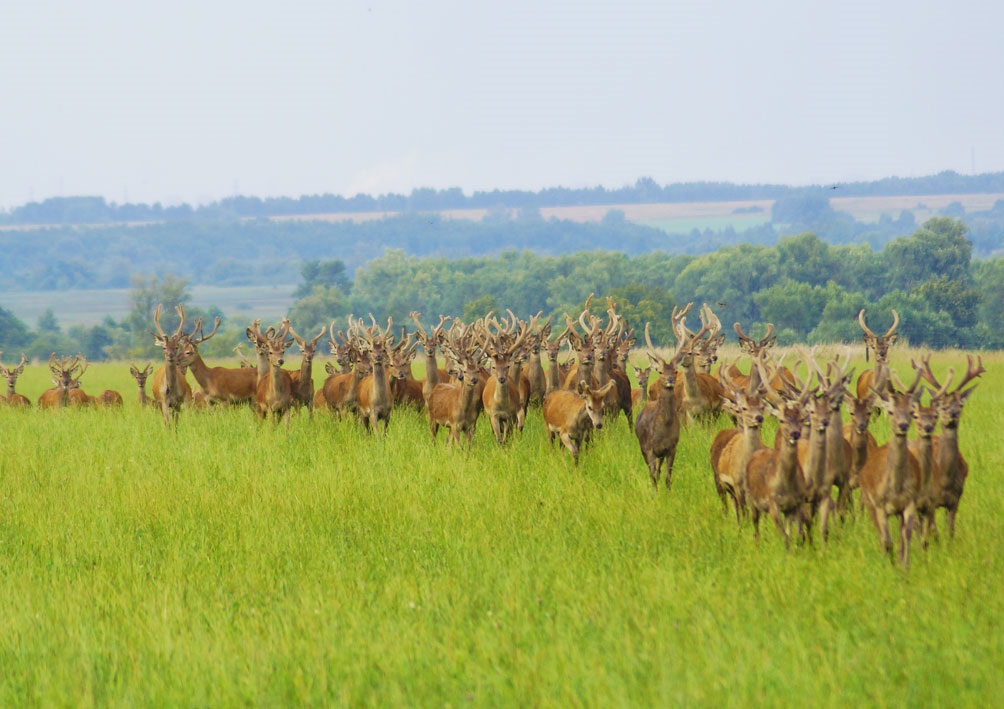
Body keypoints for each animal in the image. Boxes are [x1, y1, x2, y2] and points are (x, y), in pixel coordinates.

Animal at [859, 365, 919, 562]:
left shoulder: (909, 503)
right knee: (880, 534)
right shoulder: (879, 505)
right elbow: (886, 540)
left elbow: (905, 538)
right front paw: (888, 564)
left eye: (911, 411)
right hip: (868, 502)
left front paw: (904, 565)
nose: (903, 425)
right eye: (891, 411)